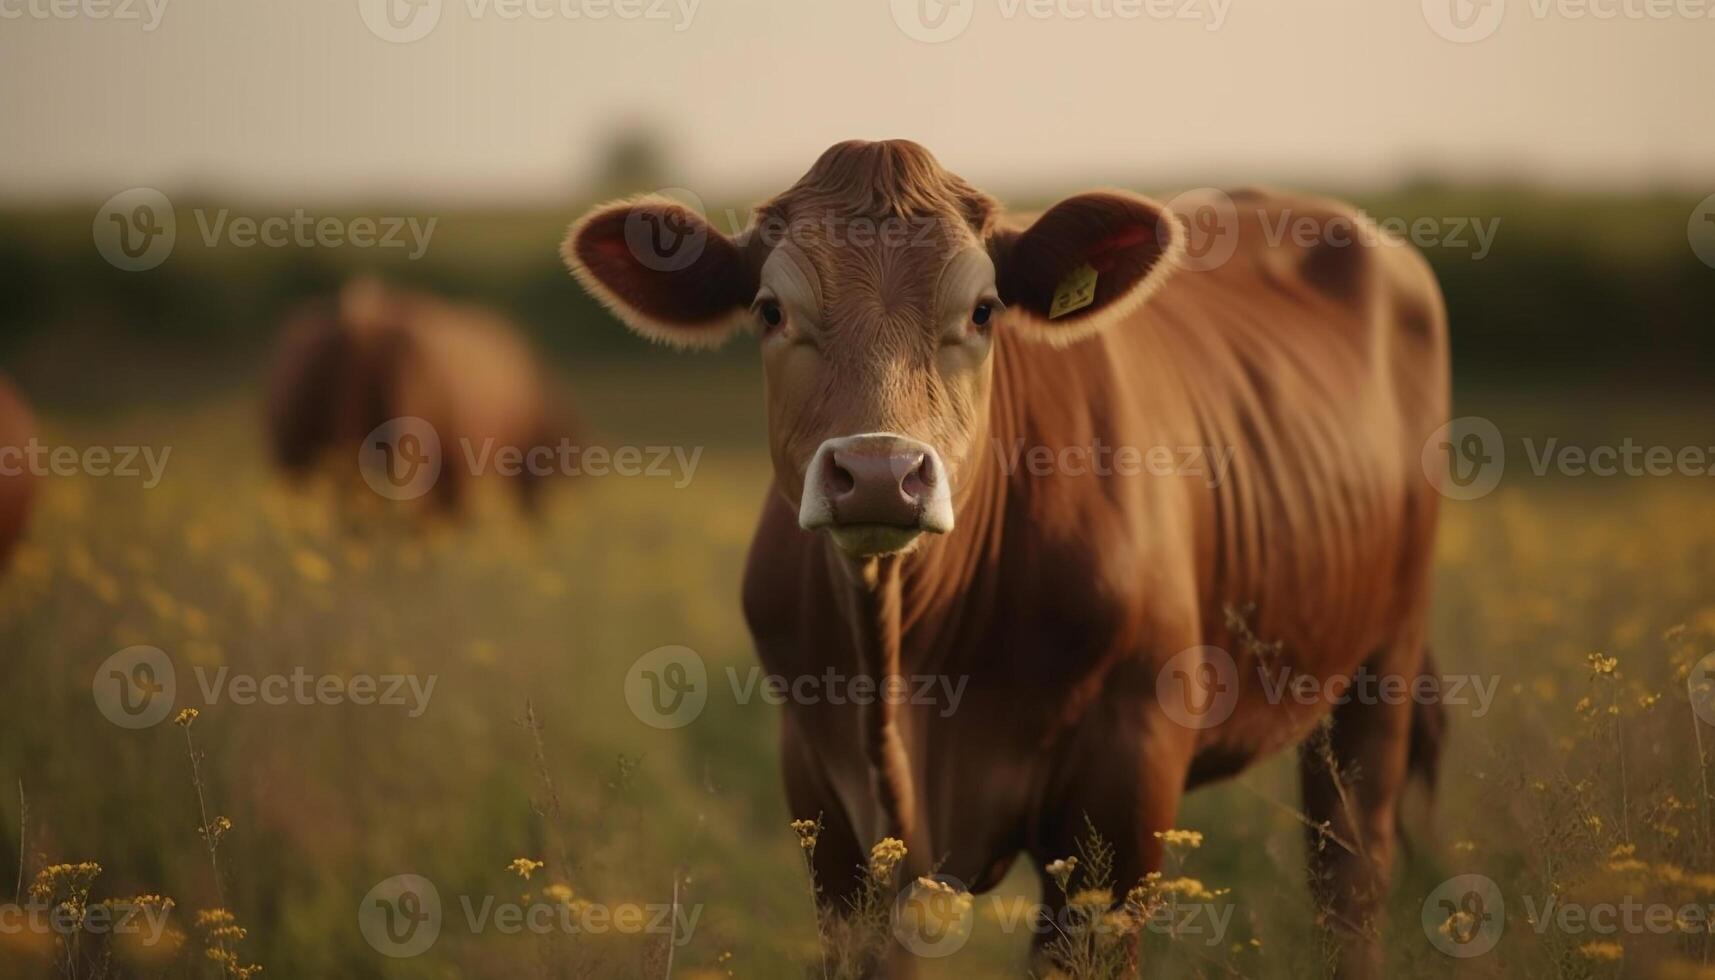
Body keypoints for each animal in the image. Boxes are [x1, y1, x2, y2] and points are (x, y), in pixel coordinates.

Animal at [562, 139, 1447, 980]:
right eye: (770, 310)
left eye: (983, 310)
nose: (879, 472)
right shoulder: (829, 809)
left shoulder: (1124, 784)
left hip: (1382, 667)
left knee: (1349, 877)